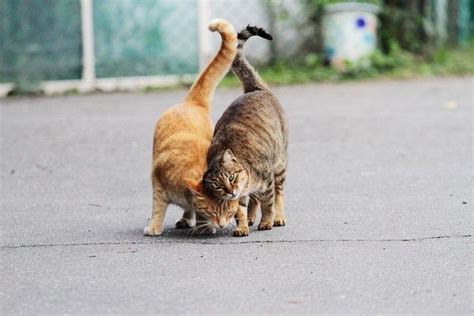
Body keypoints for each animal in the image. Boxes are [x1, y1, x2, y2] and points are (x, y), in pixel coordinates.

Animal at [141, 19, 237, 237]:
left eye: (230, 211)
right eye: (213, 211)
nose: (222, 225)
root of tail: (192, 102)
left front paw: (203, 225)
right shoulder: (157, 183)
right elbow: (158, 208)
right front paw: (154, 227)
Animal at [187, 25, 286, 237]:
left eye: (231, 177)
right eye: (218, 187)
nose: (231, 190)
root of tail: (254, 89)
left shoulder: (267, 181)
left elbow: (269, 203)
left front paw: (267, 221)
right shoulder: (238, 198)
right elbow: (240, 209)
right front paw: (242, 225)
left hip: (280, 164)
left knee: (279, 194)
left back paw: (278, 217)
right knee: (254, 199)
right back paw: (251, 217)